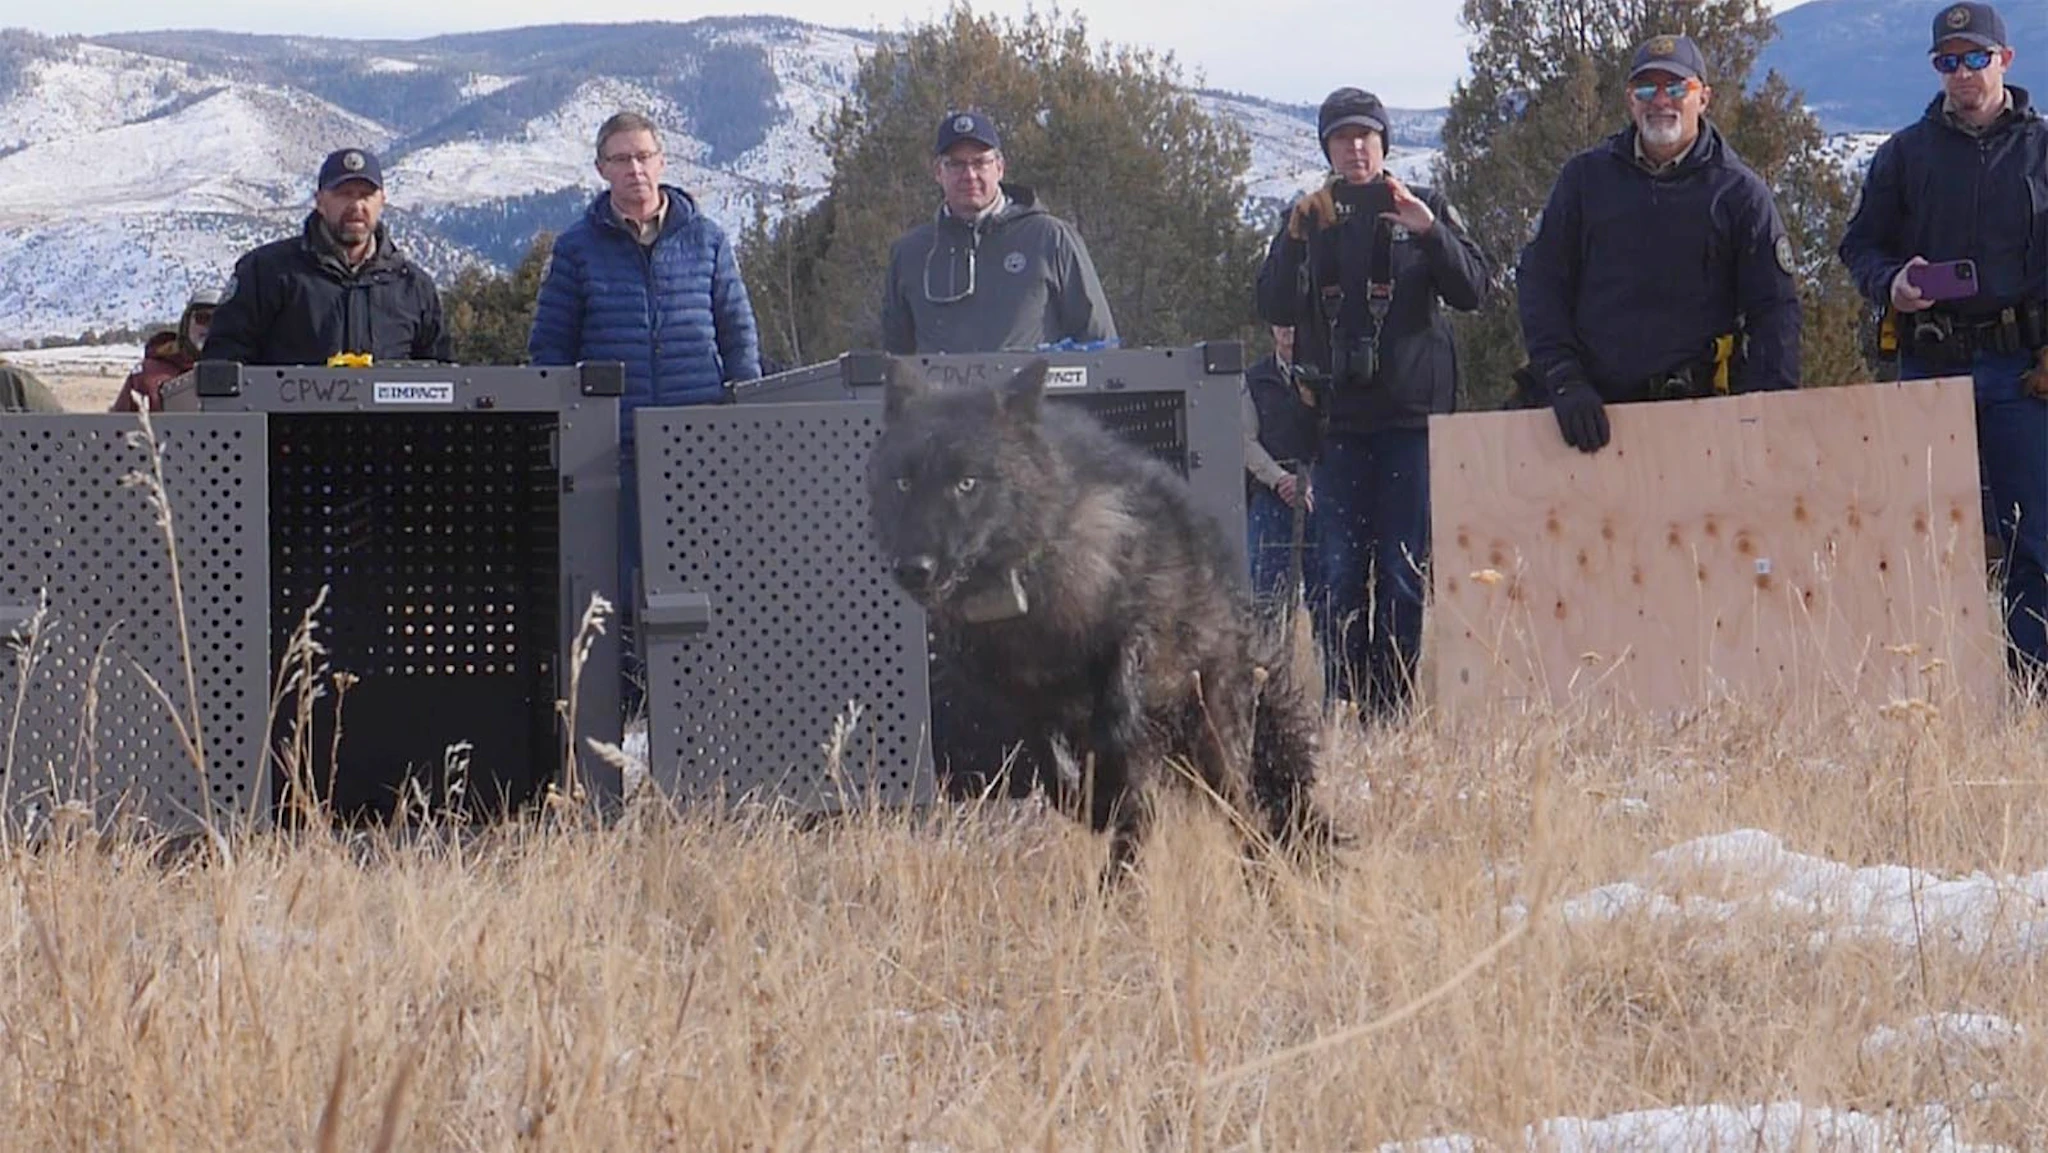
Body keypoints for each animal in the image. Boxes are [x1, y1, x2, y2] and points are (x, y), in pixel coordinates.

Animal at [865, 358, 1337, 877]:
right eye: (903, 483)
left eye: (966, 483)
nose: (914, 567)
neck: (1029, 593)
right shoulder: (1021, 700)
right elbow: (1050, 767)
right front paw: (1087, 805)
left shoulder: (1137, 637)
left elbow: (1121, 686)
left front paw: (1108, 765)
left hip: (1216, 737)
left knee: (1241, 814)